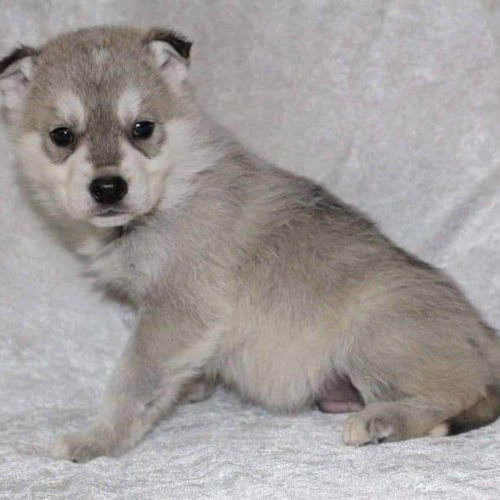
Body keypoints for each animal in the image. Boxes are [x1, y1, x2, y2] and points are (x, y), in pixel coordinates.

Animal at [0, 25, 500, 462]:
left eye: (142, 128)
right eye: (61, 135)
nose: (108, 188)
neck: (175, 191)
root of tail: (484, 335)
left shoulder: (178, 310)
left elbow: (132, 379)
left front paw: (98, 438)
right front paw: (189, 388)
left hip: (375, 334)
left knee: (452, 395)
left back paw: (383, 421)